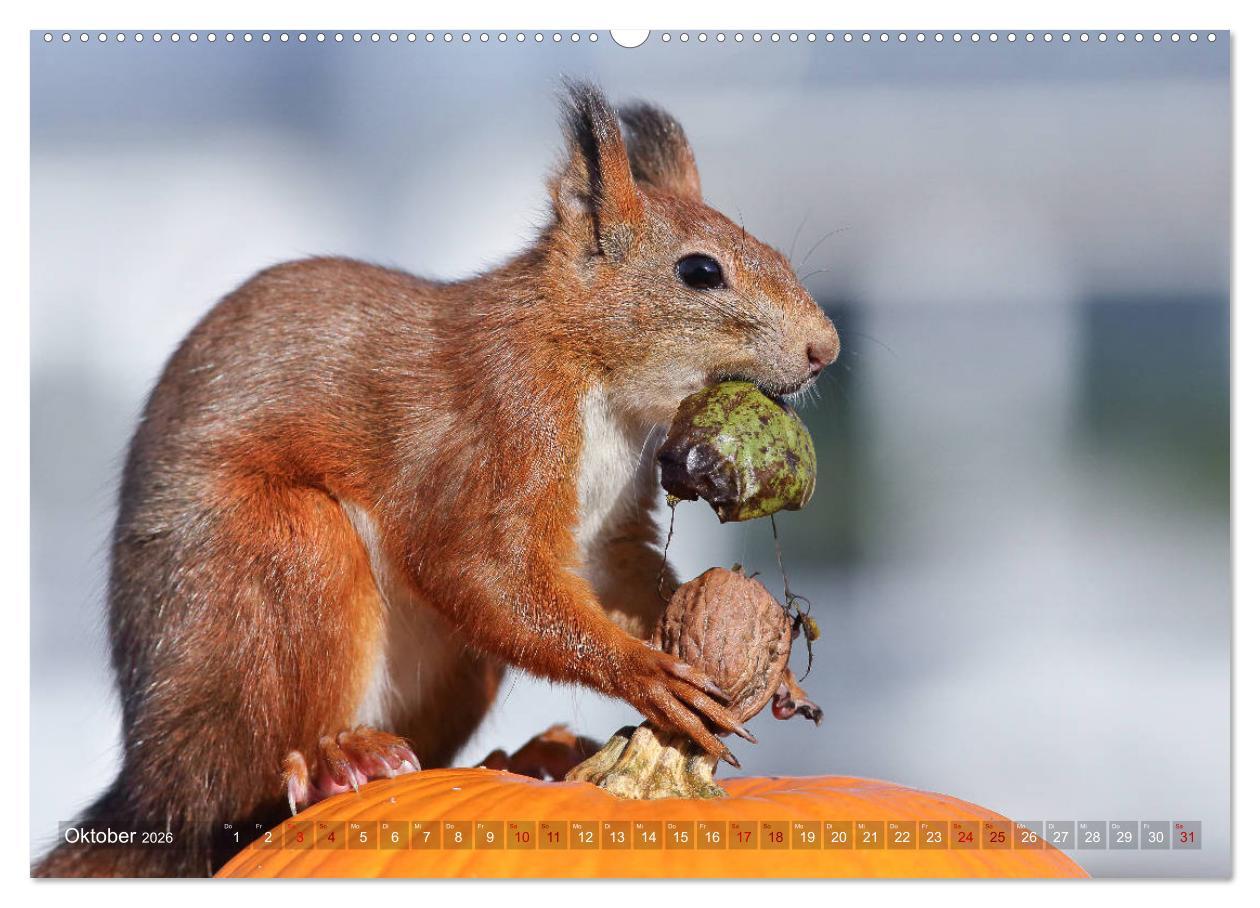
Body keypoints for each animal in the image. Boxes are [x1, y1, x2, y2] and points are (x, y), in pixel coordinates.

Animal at [34, 81, 839, 877]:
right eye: (700, 271)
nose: (825, 348)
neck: (585, 363)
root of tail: (148, 793)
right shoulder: (498, 424)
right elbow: (473, 568)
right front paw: (647, 675)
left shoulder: (607, 528)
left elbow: (621, 578)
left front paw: (772, 671)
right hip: (273, 567)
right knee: (238, 789)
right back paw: (332, 764)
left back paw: (523, 755)